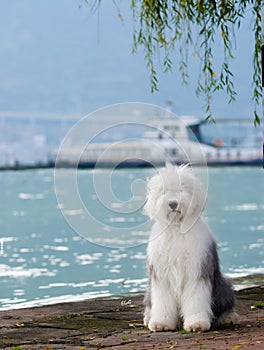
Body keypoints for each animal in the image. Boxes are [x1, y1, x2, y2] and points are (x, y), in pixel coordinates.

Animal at [143, 163, 236, 332]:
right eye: (164, 191)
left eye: (182, 189)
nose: (173, 203)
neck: (177, 227)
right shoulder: (161, 275)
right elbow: (162, 300)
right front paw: (161, 323)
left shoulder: (197, 270)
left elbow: (195, 298)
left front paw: (196, 324)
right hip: (149, 290)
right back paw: (148, 318)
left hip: (222, 286)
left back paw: (229, 318)